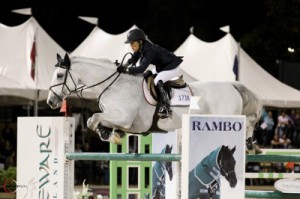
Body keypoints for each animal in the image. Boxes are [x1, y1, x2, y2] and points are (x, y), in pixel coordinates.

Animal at [46, 52, 262, 152]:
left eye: (59, 75)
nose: (51, 102)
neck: (112, 85)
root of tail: (232, 85)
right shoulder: (122, 120)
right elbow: (97, 120)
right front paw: (112, 134)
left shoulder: (125, 118)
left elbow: (93, 119)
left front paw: (111, 135)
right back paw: (252, 145)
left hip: (228, 117)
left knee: (247, 123)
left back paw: (251, 145)